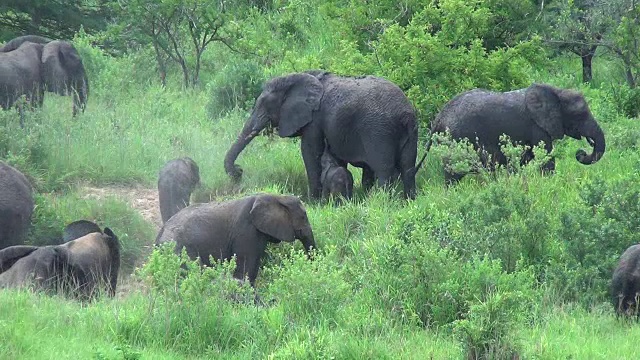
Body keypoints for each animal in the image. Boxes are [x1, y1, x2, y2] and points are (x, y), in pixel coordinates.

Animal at [225, 70, 420, 200]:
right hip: (409, 131)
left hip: (379, 130)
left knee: (383, 169)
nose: (239, 170)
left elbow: (310, 151)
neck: (303, 76)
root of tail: (406, 113)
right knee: (408, 166)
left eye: (265, 104)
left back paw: (383, 203)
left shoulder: (314, 119)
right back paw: (408, 201)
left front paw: (313, 203)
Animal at [430, 82, 604, 183]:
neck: (557, 92)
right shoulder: (537, 127)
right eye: (580, 115)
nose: (581, 153)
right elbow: (546, 157)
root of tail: (439, 117)